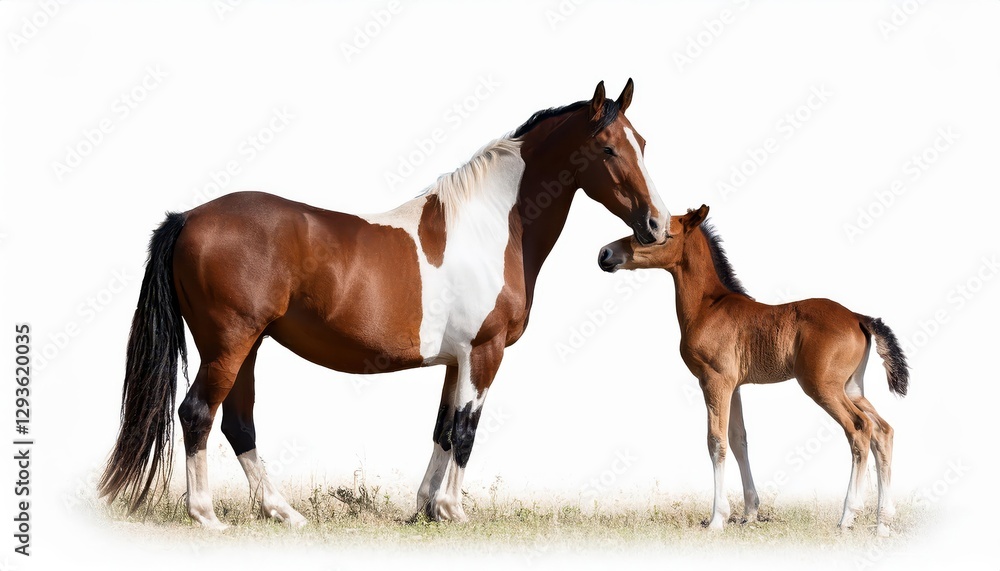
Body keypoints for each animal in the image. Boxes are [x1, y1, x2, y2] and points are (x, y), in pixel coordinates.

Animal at [98, 80, 670, 530]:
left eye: (642, 142)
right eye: (608, 148)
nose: (657, 225)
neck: (491, 225)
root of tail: (188, 217)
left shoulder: (456, 360)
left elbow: (443, 430)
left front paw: (425, 510)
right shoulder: (484, 352)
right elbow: (466, 431)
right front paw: (454, 511)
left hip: (247, 347)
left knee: (238, 423)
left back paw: (283, 513)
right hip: (229, 344)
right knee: (197, 413)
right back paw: (206, 516)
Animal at [597, 205, 908, 536]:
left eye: (657, 233)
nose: (606, 253)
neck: (708, 306)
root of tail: (859, 317)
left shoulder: (714, 380)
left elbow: (716, 441)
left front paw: (717, 519)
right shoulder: (734, 385)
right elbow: (738, 439)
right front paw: (749, 513)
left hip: (822, 387)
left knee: (859, 429)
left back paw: (848, 516)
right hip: (852, 387)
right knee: (882, 431)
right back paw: (883, 521)